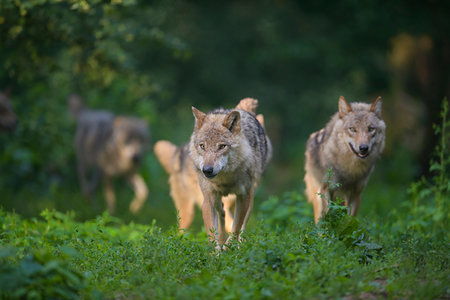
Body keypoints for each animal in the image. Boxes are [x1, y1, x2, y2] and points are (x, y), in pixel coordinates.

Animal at [189, 98, 270, 248]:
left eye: (222, 146)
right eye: (202, 146)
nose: (207, 170)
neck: (224, 179)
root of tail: (242, 110)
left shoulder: (244, 196)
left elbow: (236, 228)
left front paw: (230, 248)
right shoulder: (208, 199)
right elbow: (211, 236)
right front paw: (216, 252)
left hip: (251, 198)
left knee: (242, 226)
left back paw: (239, 245)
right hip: (217, 202)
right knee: (222, 214)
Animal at [306, 95, 386, 224]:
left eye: (370, 129)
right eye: (352, 129)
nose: (363, 148)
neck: (350, 169)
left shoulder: (356, 194)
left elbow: (350, 219)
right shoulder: (326, 190)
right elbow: (329, 219)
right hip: (319, 196)